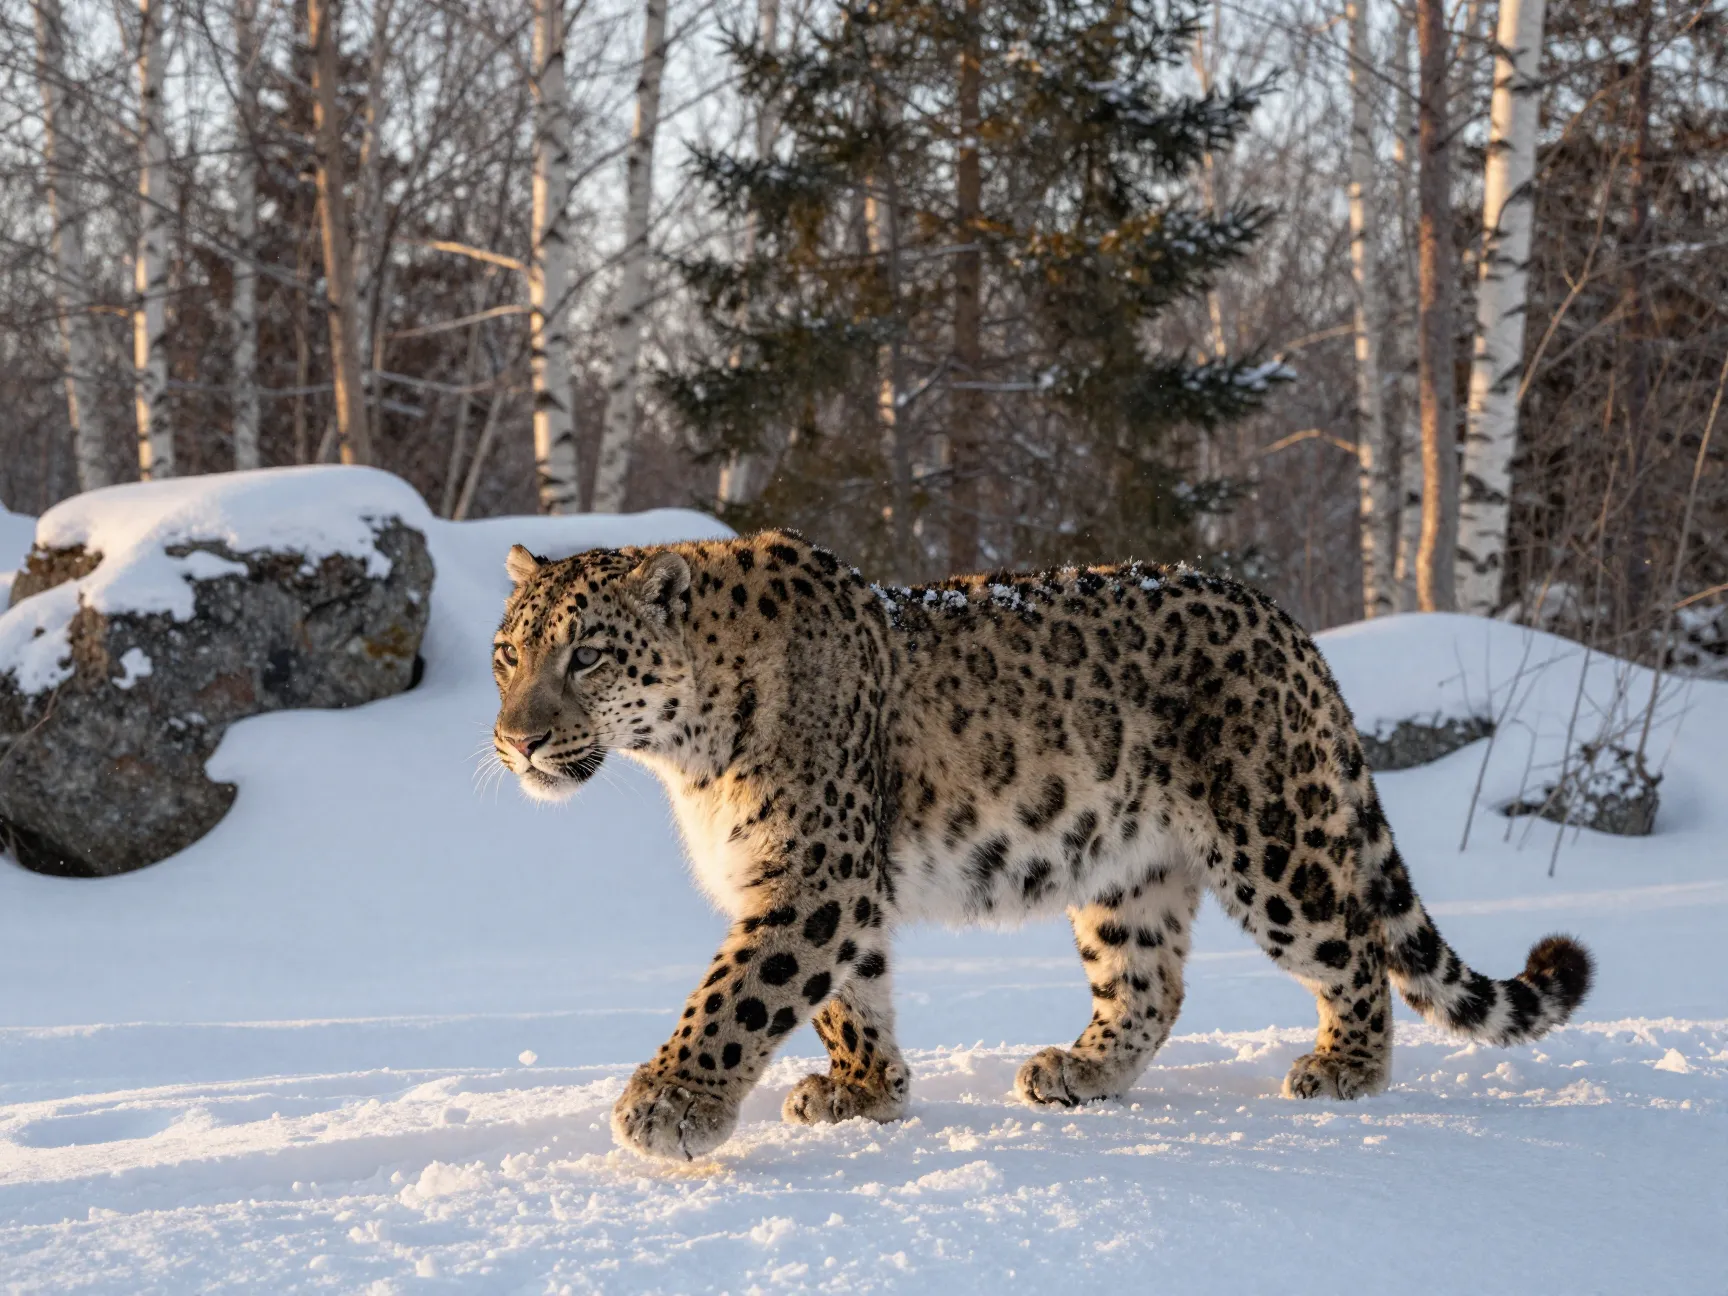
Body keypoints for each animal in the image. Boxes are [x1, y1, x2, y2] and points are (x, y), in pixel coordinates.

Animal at [490, 530, 1593, 1162]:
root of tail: (1287, 624)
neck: (684, 755)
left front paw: (669, 1105)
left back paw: (1345, 1069)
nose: (517, 739)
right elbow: (850, 998)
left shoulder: (813, 877)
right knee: (1151, 985)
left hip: (1273, 843)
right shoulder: (830, 885)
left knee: (1354, 945)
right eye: (508, 656)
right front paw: (866, 1092)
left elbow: (738, 995)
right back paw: (1081, 1072)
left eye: (587, 656)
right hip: (1126, 872)